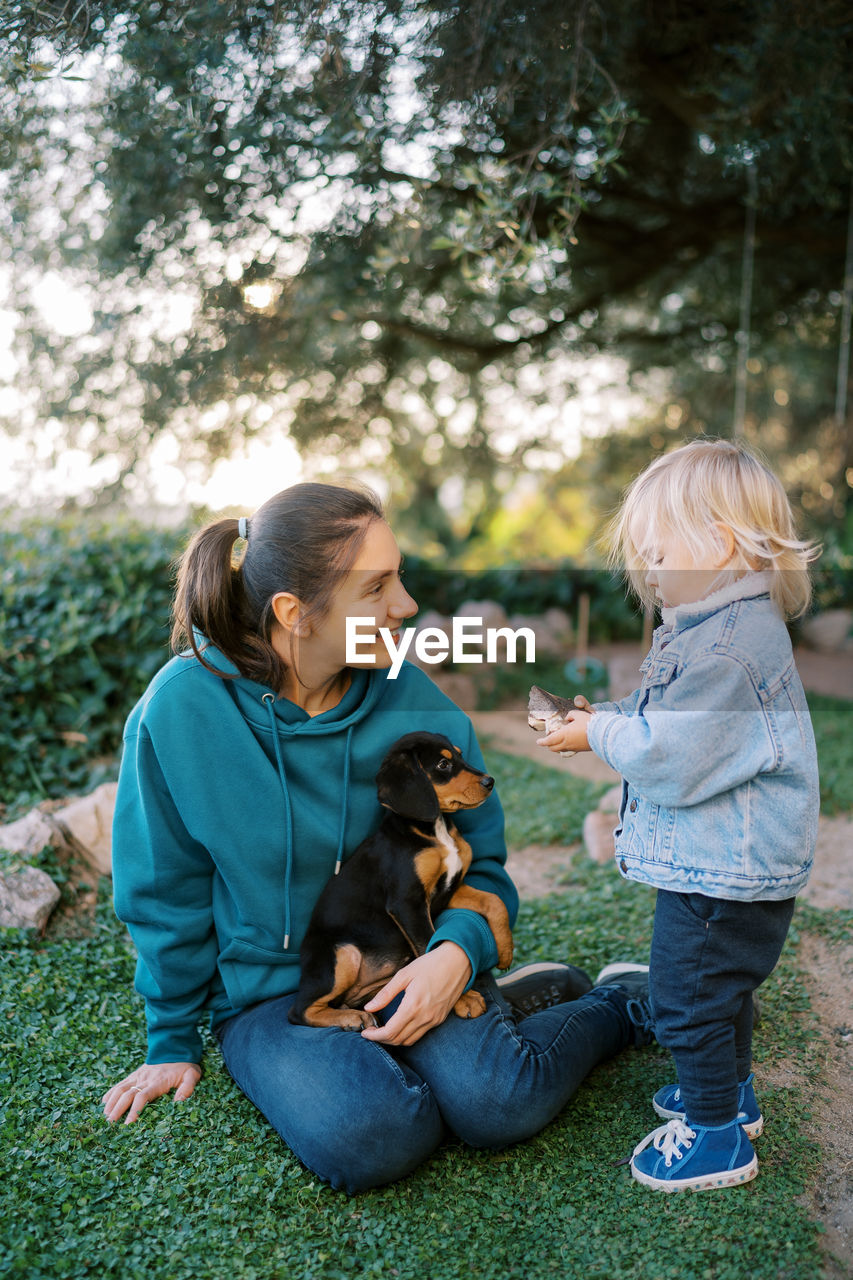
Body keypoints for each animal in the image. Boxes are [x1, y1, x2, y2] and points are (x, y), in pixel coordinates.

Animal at [289, 732, 512, 1029]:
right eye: (443, 764)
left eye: (461, 754)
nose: (490, 782)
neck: (435, 830)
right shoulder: (407, 901)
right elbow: (430, 947)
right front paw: (464, 999)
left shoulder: (451, 889)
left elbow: (495, 901)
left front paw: (506, 951)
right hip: (341, 956)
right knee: (299, 1010)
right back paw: (352, 1018)